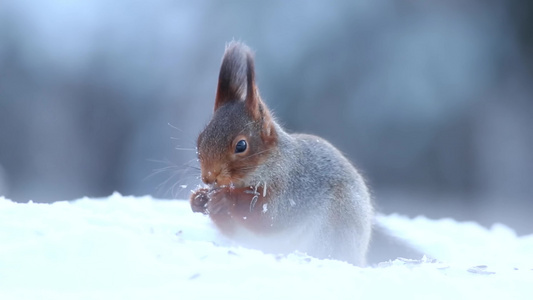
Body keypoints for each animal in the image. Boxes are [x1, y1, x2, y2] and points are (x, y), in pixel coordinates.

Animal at [189, 41, 372, 266]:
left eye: (241, 146)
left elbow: (268, 217)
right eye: (200, 139)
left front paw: (225, 199)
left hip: (338, 219)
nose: (208, 178)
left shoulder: (293, 188)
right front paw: (198, 198)